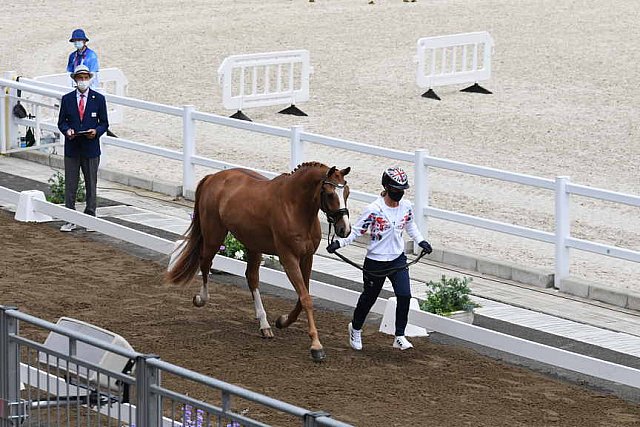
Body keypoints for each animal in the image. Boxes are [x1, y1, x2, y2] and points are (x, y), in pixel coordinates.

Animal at [165, 163, 352, 362]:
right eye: (330, 193)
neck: (295, 207)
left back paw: (264, 324)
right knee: (205, 263)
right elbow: (306, 298)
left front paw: (282, 321)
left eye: (347, 192)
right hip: (214, 236)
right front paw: (316, 346)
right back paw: (201, 299)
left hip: (252, 245)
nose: (345, 229)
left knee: (251, 277)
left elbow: (303, 297)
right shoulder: (288, 258)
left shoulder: (307, 257)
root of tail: (214, 176)